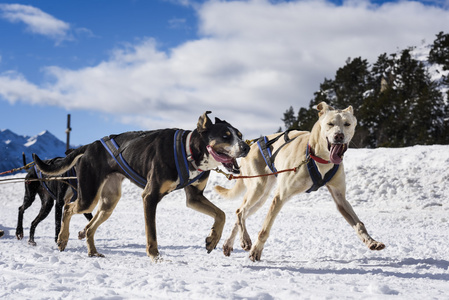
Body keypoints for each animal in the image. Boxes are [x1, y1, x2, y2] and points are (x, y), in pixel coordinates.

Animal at [34, 111, 252, 262]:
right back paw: (62, 238)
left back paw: (92, 251)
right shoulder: (150, 196)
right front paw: (155, 256)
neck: (188, 150)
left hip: (109, 202)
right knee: (68, 207)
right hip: (89, 196)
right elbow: (152, 233)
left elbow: (221, 214)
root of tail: (89, 145)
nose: (246, 147)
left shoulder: (194, 197)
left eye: (240, 135)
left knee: (88, 228)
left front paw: (213, 238)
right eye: (225, 136)